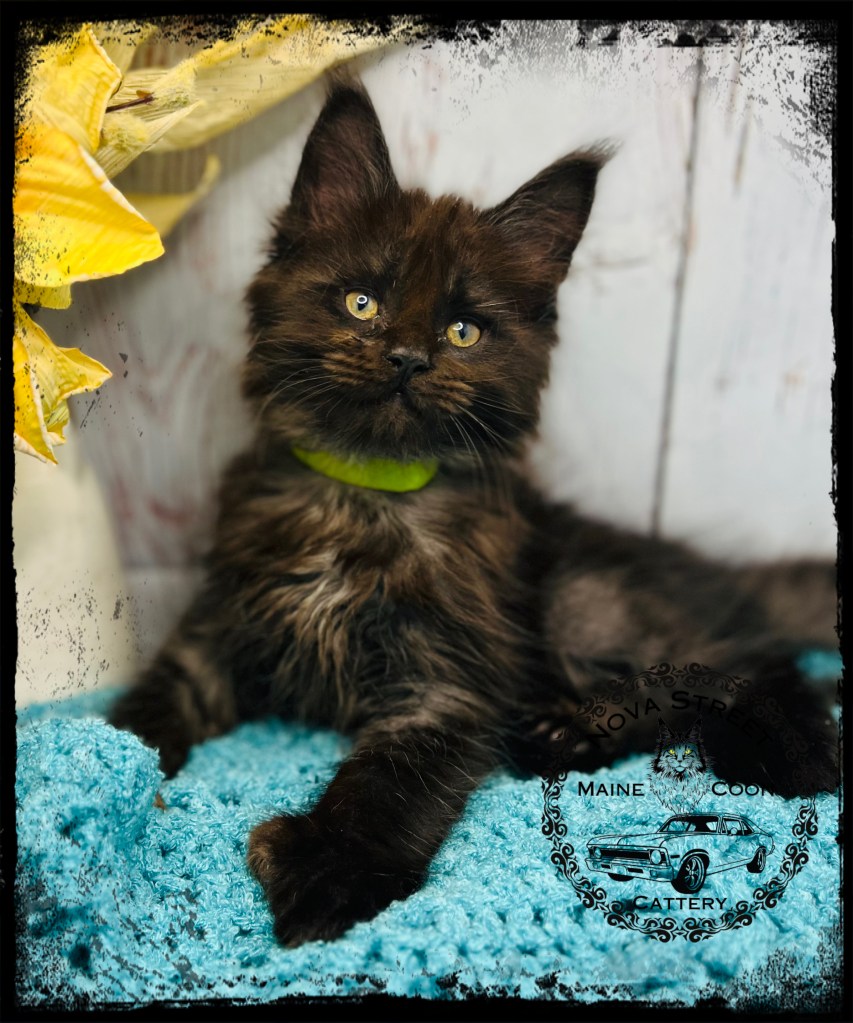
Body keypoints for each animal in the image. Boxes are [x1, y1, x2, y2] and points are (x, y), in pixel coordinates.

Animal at [110, 76, 838, 947]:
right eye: (361, 303)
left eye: (463, 331)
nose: (406, 359)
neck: (362, 498)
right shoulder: (219, 630)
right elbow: (147, 709)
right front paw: (109, 774)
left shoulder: (445, 680)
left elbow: (390, 781)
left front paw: (330, 869)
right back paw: (565, 736)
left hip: (582, 598)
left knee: (749, 666)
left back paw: (762, 747)